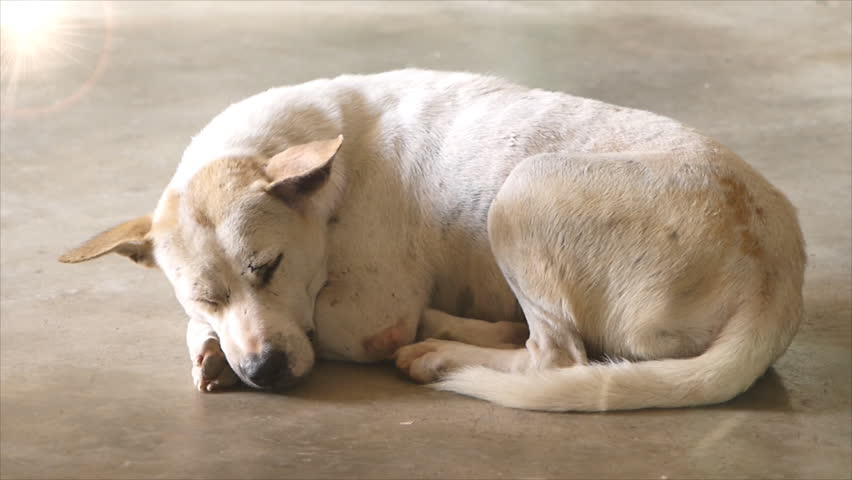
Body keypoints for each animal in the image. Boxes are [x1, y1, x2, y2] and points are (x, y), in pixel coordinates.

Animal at [61, 69, 804, 410]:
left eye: (268, 266)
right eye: (204, 296)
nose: (265, 372)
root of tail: (776, 275)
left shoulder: (368, 313)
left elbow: (337, 326)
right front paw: (210, 348)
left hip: (521, 193)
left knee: (556, 356)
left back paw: (445, 349)